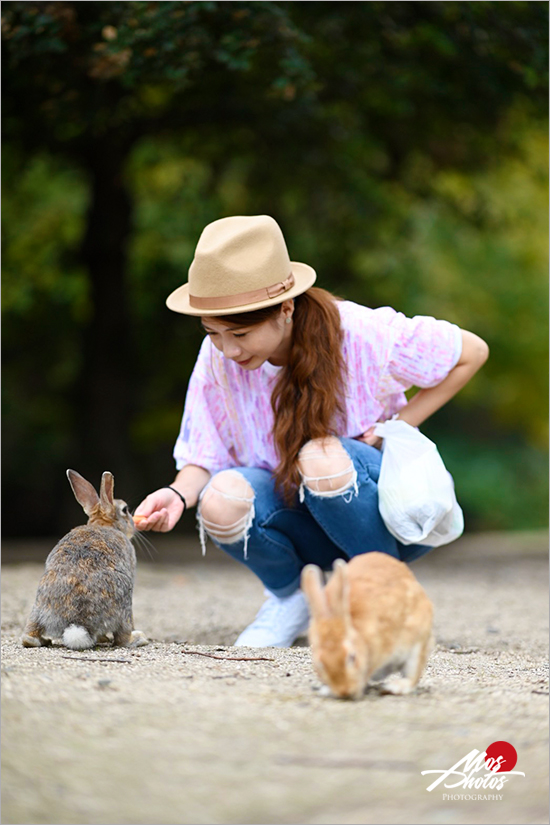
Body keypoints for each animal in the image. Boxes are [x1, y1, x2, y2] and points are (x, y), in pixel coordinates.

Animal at [21, 470, 148, 652]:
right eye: (125, 509)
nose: (133, 524)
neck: (103, 524)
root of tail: (76, 623)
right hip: (125, 602)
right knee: (121, 638)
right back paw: (138, 638)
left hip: (38, 606)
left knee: (29, 637)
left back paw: (41, 640)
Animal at [302, 552, 436, 700]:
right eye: (320, 664)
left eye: (352, 656)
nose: (345, 692)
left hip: (417, 645)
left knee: (413, 676)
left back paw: (395, 687)